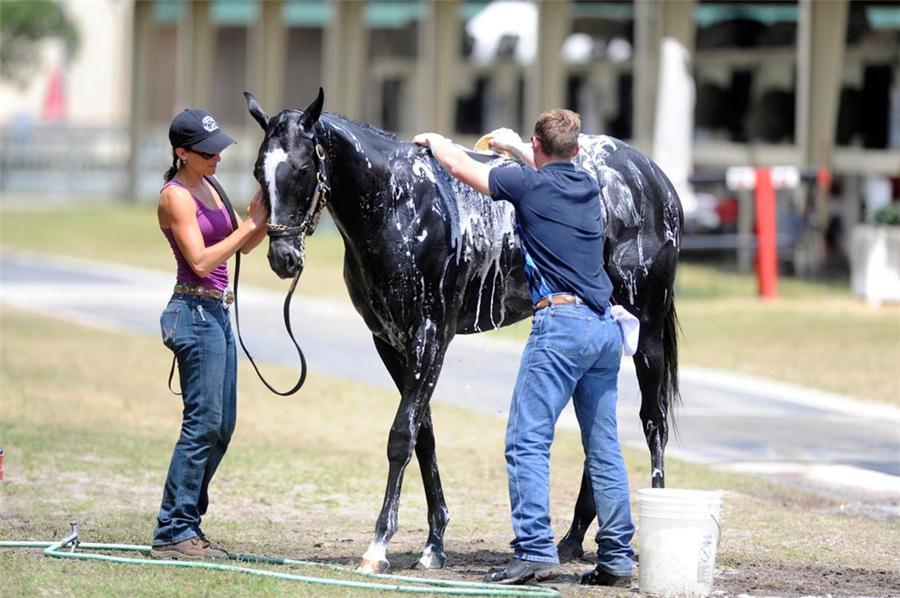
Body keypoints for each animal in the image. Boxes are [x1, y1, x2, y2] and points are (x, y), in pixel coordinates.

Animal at [243, 90, 680, 576]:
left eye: (302, 168)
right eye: (260, 170)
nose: (283, 257)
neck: (400, 204)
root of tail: (653, 177)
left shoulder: (431, 337)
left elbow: (401, 436)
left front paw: (378, 546)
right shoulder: (390, 343)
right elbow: (424, 436)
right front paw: (433, 545)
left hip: (648, 331)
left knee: (653, 422)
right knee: (599, 432)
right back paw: (571, 540)